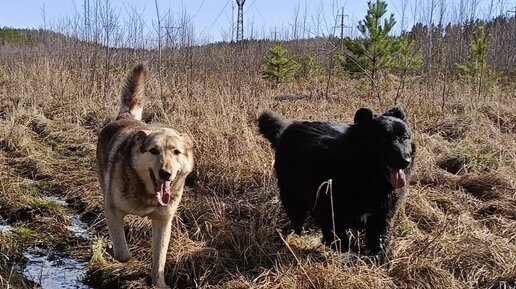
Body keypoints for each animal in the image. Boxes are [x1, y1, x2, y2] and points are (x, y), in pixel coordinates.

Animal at [95, 63, 195, 286]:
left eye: (176, 152)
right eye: (154, 151)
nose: (165, 174)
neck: (146, 193)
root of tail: (126, 117)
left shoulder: (164, 222)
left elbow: (160, 260)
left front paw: (160, 284)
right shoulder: (112, 209)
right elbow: (123, 252)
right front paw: (114, 251)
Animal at [258, 107, 416, 260]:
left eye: (405, 138)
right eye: (383, 139)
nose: (405, 161)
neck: (366, 176)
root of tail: (289, 126)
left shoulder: (382, 215)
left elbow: (379, 238)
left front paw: (376, 258)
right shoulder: (328, 211)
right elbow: (340, 239)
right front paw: (347, 255)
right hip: (291, 194)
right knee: (296, 216)